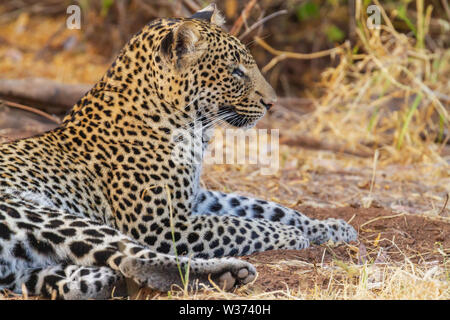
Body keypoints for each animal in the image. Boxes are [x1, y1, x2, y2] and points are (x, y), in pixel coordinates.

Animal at [0, 4, 358, 300]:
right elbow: (238, 225)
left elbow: (263, 206)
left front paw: (331, 228)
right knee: (135, 259)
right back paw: (229, 273)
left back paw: (99, 282)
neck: (193, 129)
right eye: (235, 71)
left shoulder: (196, 197)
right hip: (45, 213)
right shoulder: (162, 223)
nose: (272, 103)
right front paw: (293, 235)